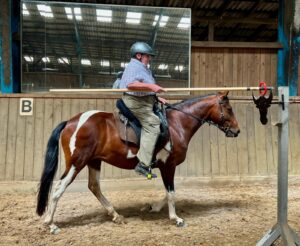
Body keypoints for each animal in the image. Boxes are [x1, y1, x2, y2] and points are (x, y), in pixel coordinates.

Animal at [36, 91, 240, 234]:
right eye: (229, 109)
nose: (237, 131)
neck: (176, 124)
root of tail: (71, 121)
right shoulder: (169, 165)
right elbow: (171, 192)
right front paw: (176, 218)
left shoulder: (166, 167)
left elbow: (169, 192)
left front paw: (153, 207)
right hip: (77, 163)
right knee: (59, 188)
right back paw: (50, 224)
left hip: (93, 161)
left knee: (94, 186)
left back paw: (116, 215)